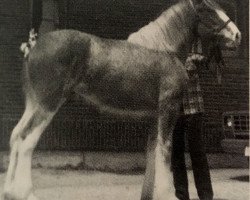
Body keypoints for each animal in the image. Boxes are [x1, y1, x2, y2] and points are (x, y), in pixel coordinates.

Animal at [1, 0, 240, 200]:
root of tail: (33, 47)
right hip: (48, 105)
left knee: (16, 136)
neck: (164, 49)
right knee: (27, 142)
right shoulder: (168, 110)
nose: (237, 35)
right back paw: (25, 192)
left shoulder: (155, 117)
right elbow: (164, 151)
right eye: (206, 9)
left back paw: (9, 190)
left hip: (34, 105)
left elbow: (152, 153)